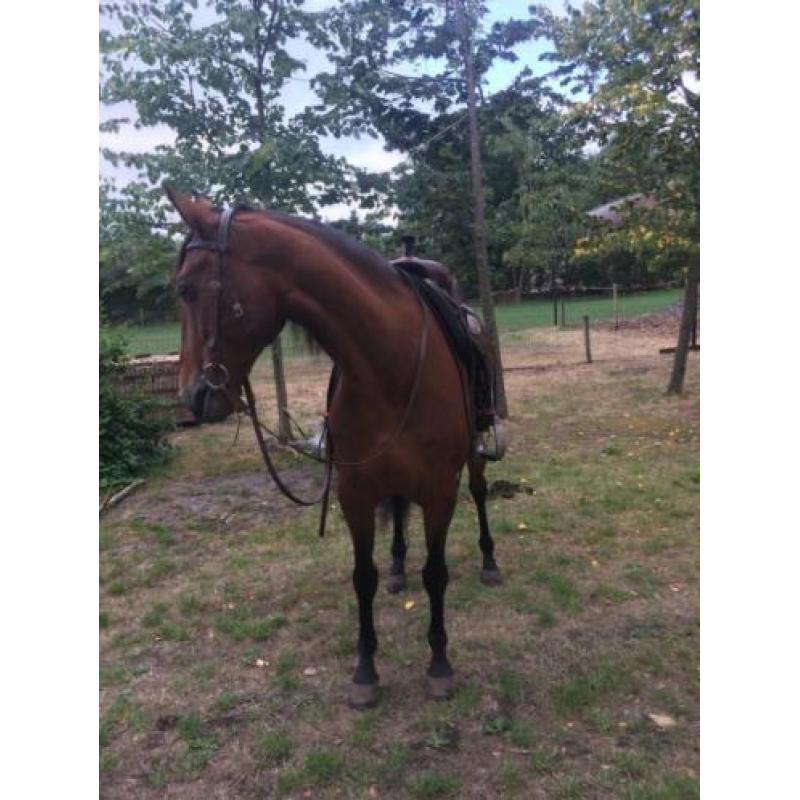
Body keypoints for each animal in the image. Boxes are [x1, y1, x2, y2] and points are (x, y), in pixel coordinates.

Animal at [166, 186, 502, 708]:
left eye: (186, 289)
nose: (192, 396)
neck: (389, 364)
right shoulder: (355, 490)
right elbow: (362, 578)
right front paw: (365, 671)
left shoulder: (440, 491)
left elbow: (436, 573)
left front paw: (439, 665)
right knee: (398, 514)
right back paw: (398, 567)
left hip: (472, 457)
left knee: (481, 495)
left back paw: (489, 561)